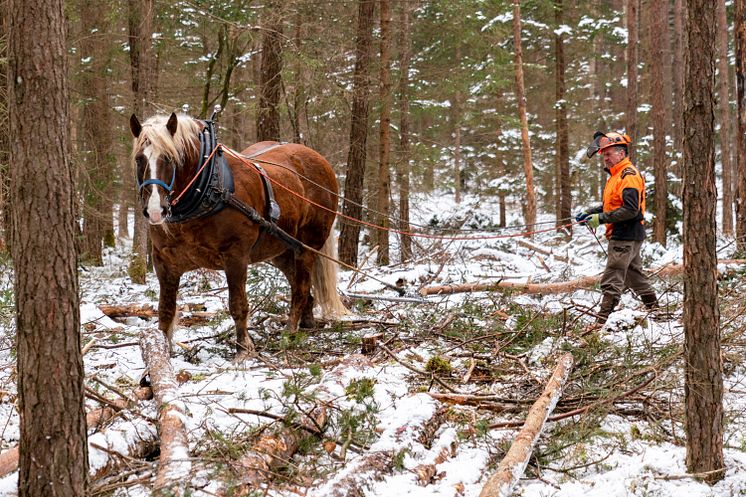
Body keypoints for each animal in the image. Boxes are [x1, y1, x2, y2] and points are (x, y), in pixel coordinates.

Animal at [129, 112, 348, 358]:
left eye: (168, 158)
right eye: (139, 159)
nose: (155, 210)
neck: (208, 188)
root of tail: (320, 160)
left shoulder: (235, 256)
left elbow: (238, 305)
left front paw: (244, 348)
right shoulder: (164, 262)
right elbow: (166, 310)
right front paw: (160, 355)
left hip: (307, 246)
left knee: (300, 288)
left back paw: (289, 332)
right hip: (280, 251)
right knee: (300, 284)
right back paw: (306, 322)